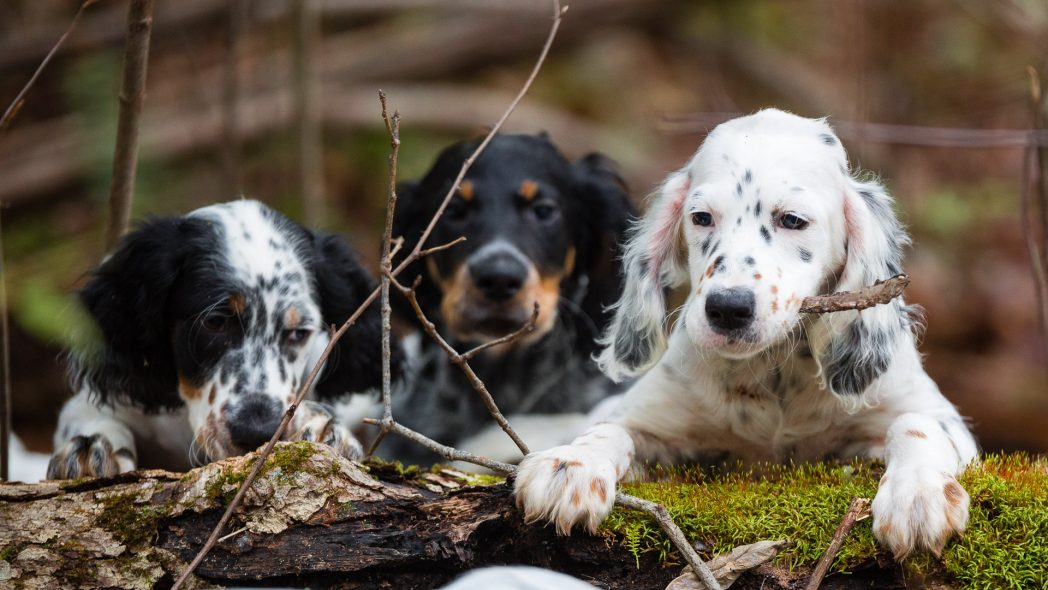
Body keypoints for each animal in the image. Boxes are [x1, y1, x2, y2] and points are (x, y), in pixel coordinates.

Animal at [48, 201, 396, 477]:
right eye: (214, 322)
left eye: (300, 333)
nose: (256, 434)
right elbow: (86, 417)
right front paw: (91, 447)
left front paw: (325, 431)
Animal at [515, 109, 980, 557]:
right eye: (701, 218)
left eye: (792, 219)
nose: (727, 309)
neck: (774, 371)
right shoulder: (654, 425)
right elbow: (612, 428)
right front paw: (571, 466)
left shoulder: (931, 416)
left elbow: (916, 423)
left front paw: (917, 496)